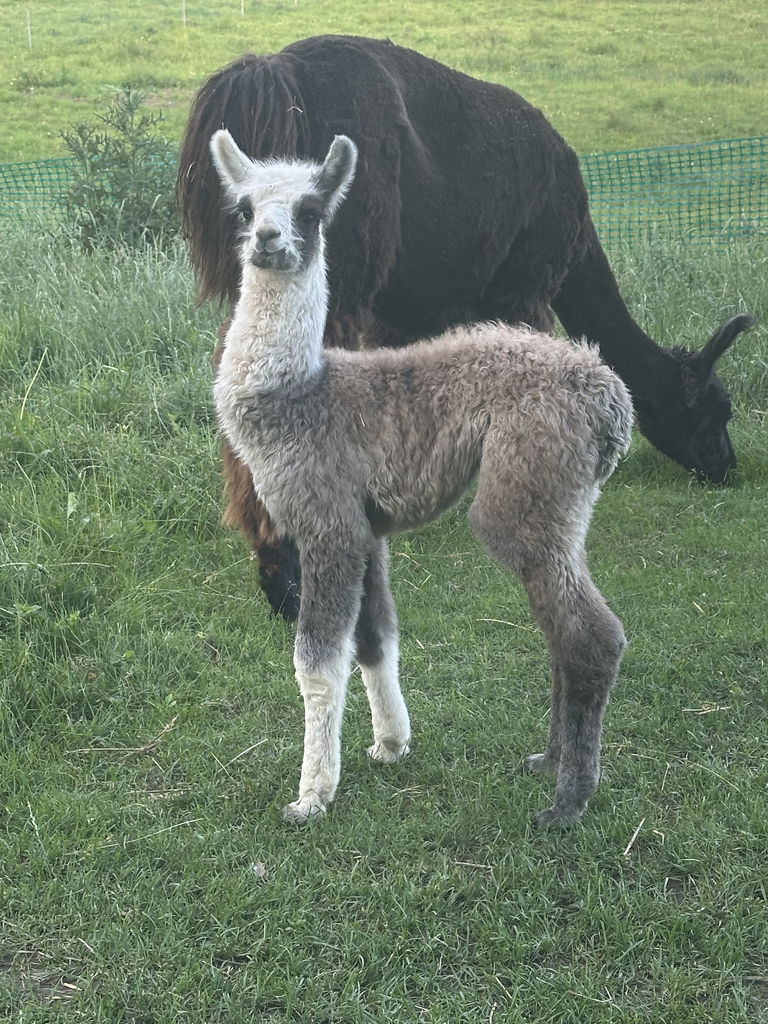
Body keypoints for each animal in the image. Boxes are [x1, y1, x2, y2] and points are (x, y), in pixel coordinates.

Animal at [209, 129, 634, 828]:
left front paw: (311, 796)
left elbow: (317, 663)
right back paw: (549, 762)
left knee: (591, 637)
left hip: (529, 484)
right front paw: (390, 744)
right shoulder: (367, 531)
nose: (268, 239)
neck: (297, 396)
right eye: (245, 209)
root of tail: (609, 396)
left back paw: (568, 803)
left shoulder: (328, 526)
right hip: (557, 502)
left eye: (311, 211)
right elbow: (377, 638)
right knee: (559, 630)